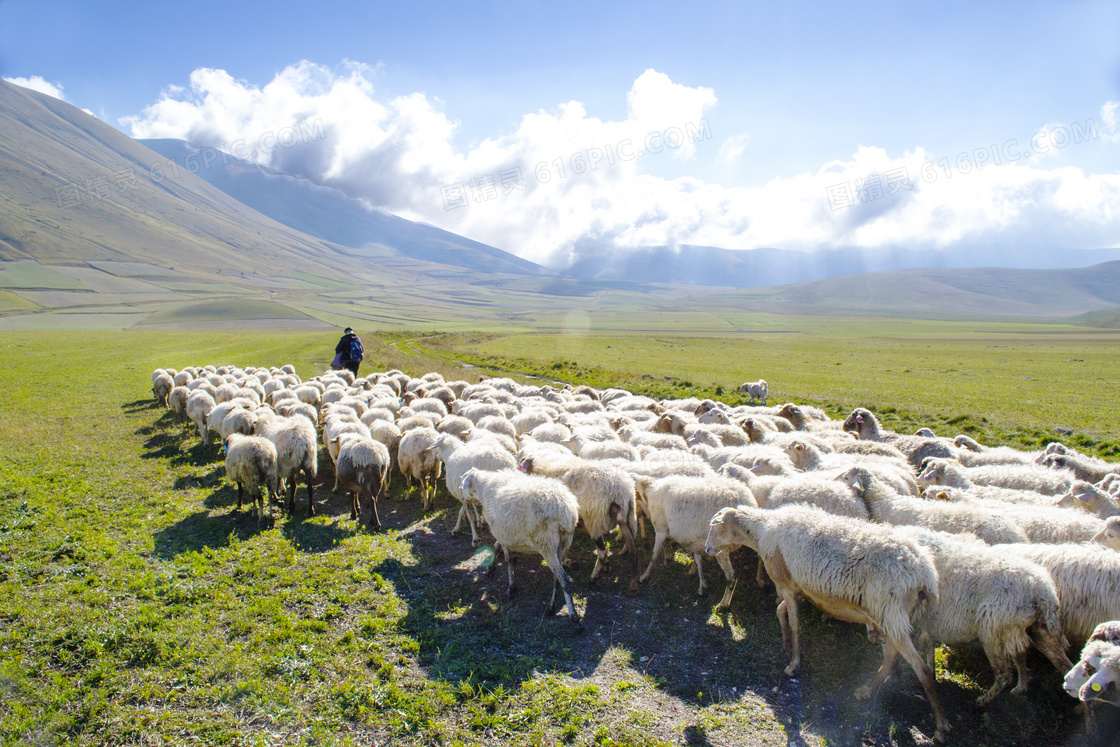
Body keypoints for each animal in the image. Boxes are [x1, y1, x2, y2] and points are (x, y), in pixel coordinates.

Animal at [456, 470, 582, 627]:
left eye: (464, 484)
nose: (462, 498)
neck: (484, 489)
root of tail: (565, 511)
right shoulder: (504, 533)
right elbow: (495, 547)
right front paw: (491, 568)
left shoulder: (503, 534)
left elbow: (508, 560)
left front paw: (511, 587)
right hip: (563, 544)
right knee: (556, 577)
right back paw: (551, 607)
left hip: (546, 544)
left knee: (563, 578)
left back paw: (573, 616)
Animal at [645, 477, 757, 609]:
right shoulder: (697, 542)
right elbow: (698, 561)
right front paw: (701, 586)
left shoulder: (661, 529)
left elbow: (654, 554)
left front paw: (645, 575)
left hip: (720, 549)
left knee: (731, 577)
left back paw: (723, 604)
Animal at [703, 506, 949, 743]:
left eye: (714, 527)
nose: (706, 549)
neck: (763, 531)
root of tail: (924, 574)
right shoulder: (796, 587)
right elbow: (780, 611)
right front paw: (785, 643)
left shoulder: (786, 584)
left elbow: (795, 624)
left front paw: (794, 664)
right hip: (894, 617)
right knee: (890, 658)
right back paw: (868, 690)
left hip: (892, 614)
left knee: (922, 669)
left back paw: (940, 727)